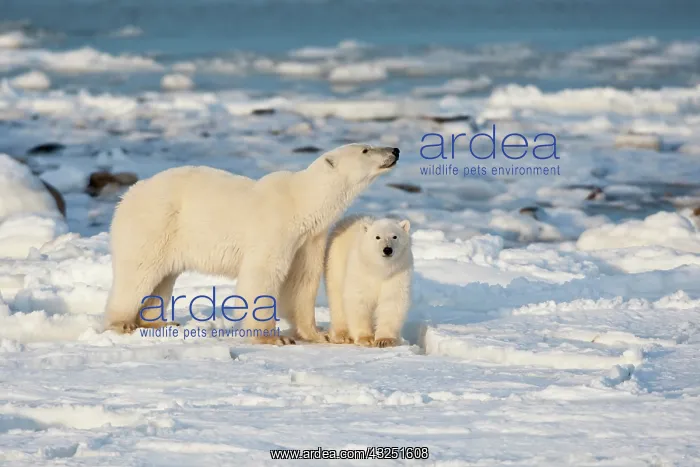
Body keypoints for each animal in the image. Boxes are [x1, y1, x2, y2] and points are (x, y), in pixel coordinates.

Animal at [103, 143, 400, 345]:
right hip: (155, 224)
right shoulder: (276, 228)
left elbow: (302, 282)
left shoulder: (309, 239)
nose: (395, 150)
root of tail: (128, 195)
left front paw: (319, 334)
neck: (302, 203)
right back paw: (123, 322)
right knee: (139, 272)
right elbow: (262, 275)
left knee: (162, 279)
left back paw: (158, 321)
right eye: (366, 149)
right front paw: (273, 338)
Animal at [324, 215, 413, 348]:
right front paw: (366, 338)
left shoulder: (398, 273)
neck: (380, 270)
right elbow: (359, 300)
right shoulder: (361, 272)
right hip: (335, 264)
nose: (387, 249)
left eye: (395, 236)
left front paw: (384, 340)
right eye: (377, 237)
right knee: (337, 299)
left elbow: (392, 301)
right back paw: (342, 335)